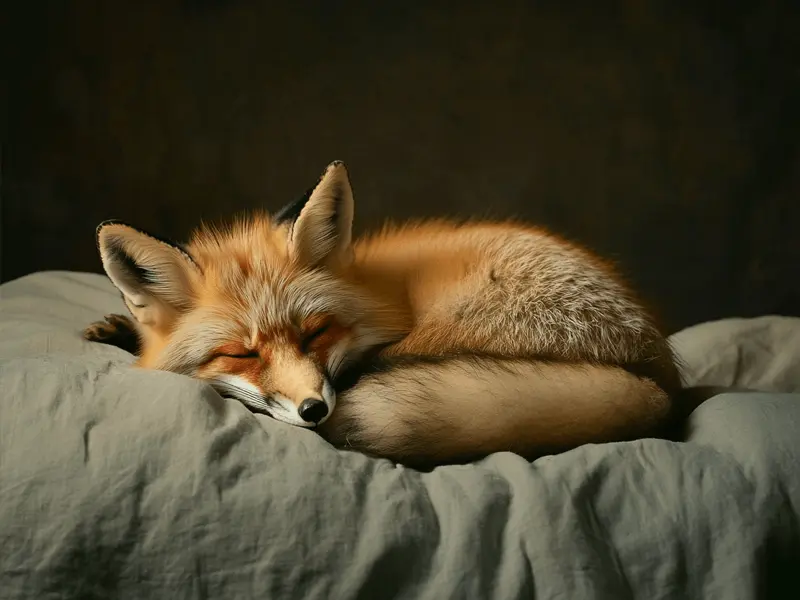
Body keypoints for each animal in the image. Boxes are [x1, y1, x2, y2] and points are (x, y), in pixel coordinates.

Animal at [84, 160, 688, 468]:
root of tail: (660, 378)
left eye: (315, 332)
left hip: (440, 334)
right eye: (242, 353)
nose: (312, 410)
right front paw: (116, 329)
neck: (375, 288)